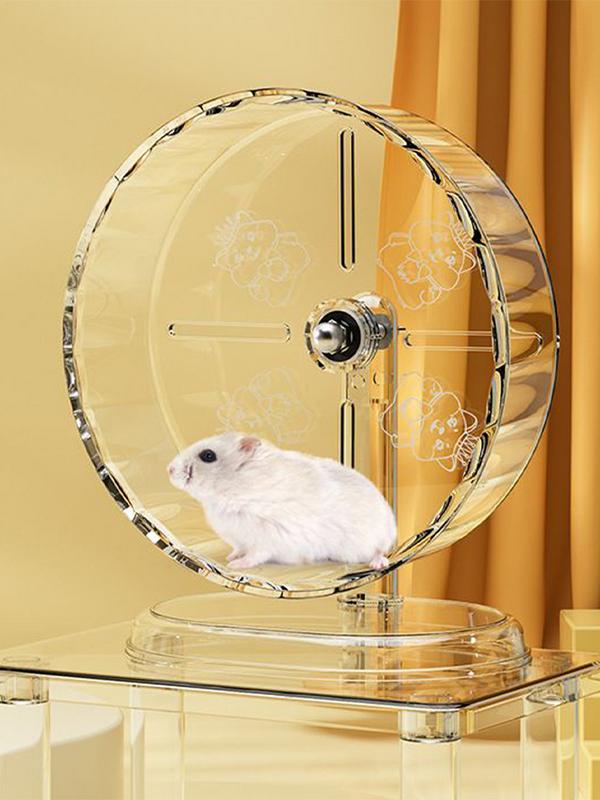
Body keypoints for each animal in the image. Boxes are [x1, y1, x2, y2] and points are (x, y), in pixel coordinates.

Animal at [167, 431, 396, 571]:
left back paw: (377, 564)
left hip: (368, 541)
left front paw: (235, 566)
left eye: (208, 455)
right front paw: (230, 558)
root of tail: (392, 527)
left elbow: (254, 555)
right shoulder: (240, 539)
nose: (168, 470)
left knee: (380, 549)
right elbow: (239, 549)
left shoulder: (265, 537)